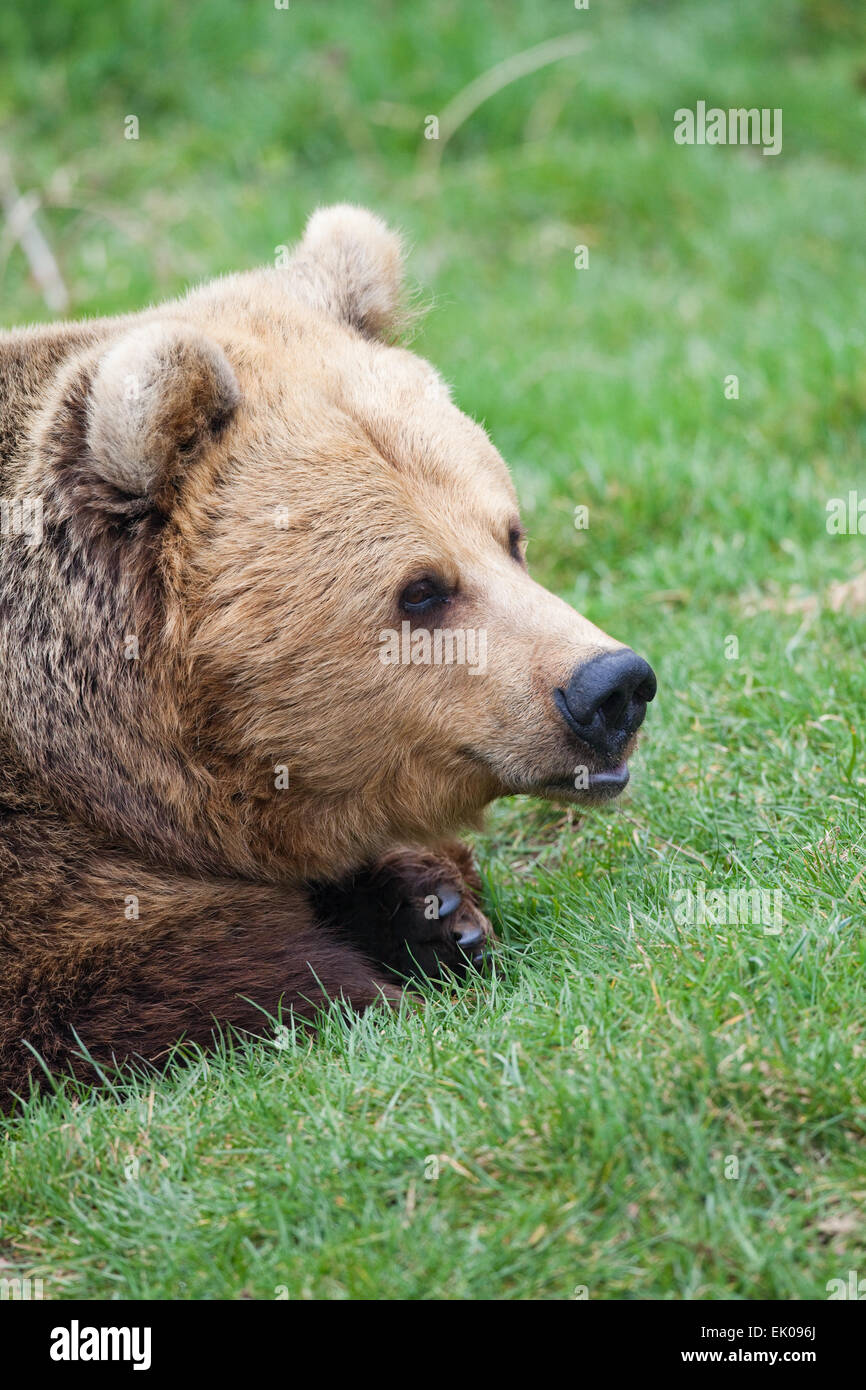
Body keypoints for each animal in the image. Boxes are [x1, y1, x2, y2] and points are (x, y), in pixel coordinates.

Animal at [0, 205, 656, 1103]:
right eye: (420, 590)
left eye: (510, 535)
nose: (611, 686)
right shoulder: (39, 876)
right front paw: (370, 979)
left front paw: (436, 908)